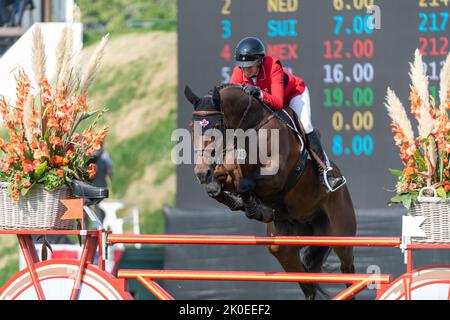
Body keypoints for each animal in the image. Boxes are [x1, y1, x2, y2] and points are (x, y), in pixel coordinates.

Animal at [185, 84, 356, 298]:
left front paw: (256, 209)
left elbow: (245, 184)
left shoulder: (276, 176)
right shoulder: (226, 172)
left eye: (216, 126)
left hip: (341, 235)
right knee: (307, 282)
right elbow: (218, 187)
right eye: (191, 127)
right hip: (283, 247)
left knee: (348, 270)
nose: (201, 172)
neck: (248, 128)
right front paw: (244, 203)